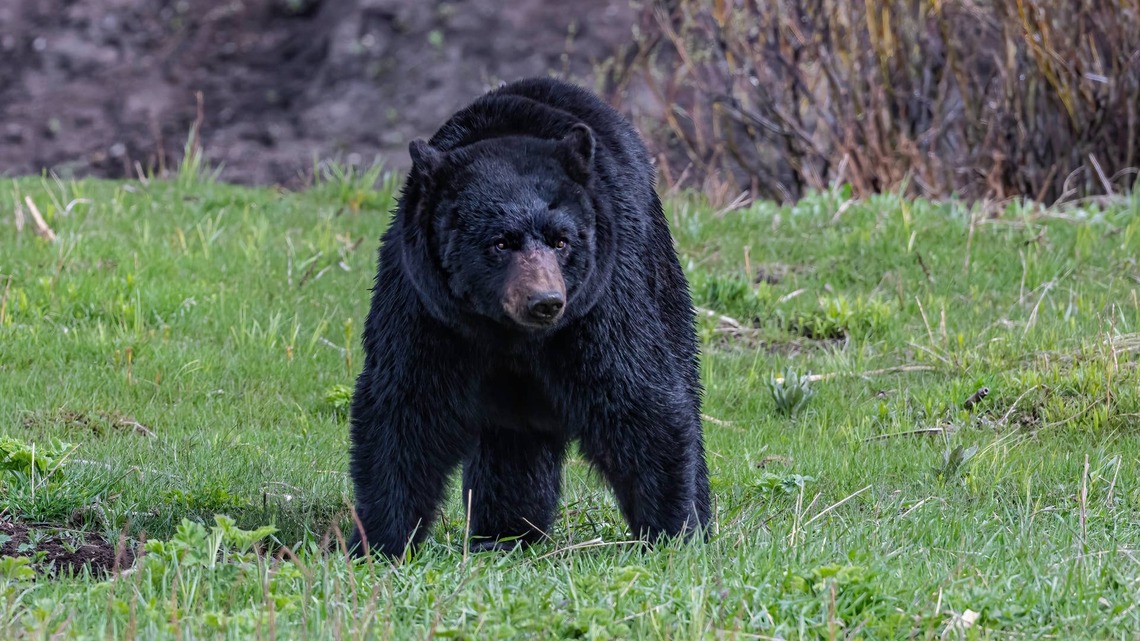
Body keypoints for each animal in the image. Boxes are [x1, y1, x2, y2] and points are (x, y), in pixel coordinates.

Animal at [347, 77, 711, 558]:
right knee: (511, 443)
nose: (545, 301)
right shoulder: (424, 306)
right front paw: (378, 542)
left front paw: (672, 533)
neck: (510, 335)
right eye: (501, 242)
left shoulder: (600, 302)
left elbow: (638, 395)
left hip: (658, 269)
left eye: (562, 240)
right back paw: (507, 531)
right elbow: (404, 403)